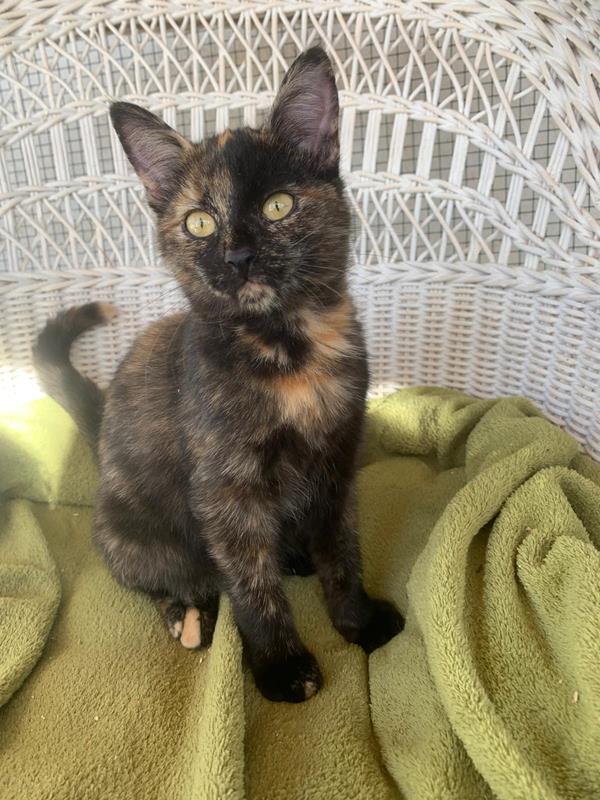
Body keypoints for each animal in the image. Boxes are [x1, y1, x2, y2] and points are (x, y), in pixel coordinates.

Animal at [33, 47, 404, 703]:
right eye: (200, 223)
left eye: (278, 205)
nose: (237, 256)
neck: (287, 350)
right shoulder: (226, 489)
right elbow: (252, 585)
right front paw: (281, 666)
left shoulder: (337, 460)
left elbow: (343, 550)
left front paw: (357, 620)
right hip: (135, 539)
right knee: (165, 578)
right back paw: (188, 618)